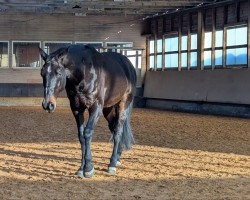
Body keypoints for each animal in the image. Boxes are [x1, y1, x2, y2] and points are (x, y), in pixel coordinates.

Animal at [39, 44, 137, 177]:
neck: (84, 71)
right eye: (42, 73)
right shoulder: (76, 109)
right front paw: (81, 168)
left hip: (123, 104)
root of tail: (128, 65)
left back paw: (112, 164)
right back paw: (117, 157)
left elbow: (87, 133)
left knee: (117, 130)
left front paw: (89, 168)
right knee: (113, 128)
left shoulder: (96, 107)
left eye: (58, 73)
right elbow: (81, 136)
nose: (47, 104)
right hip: (108, 109)